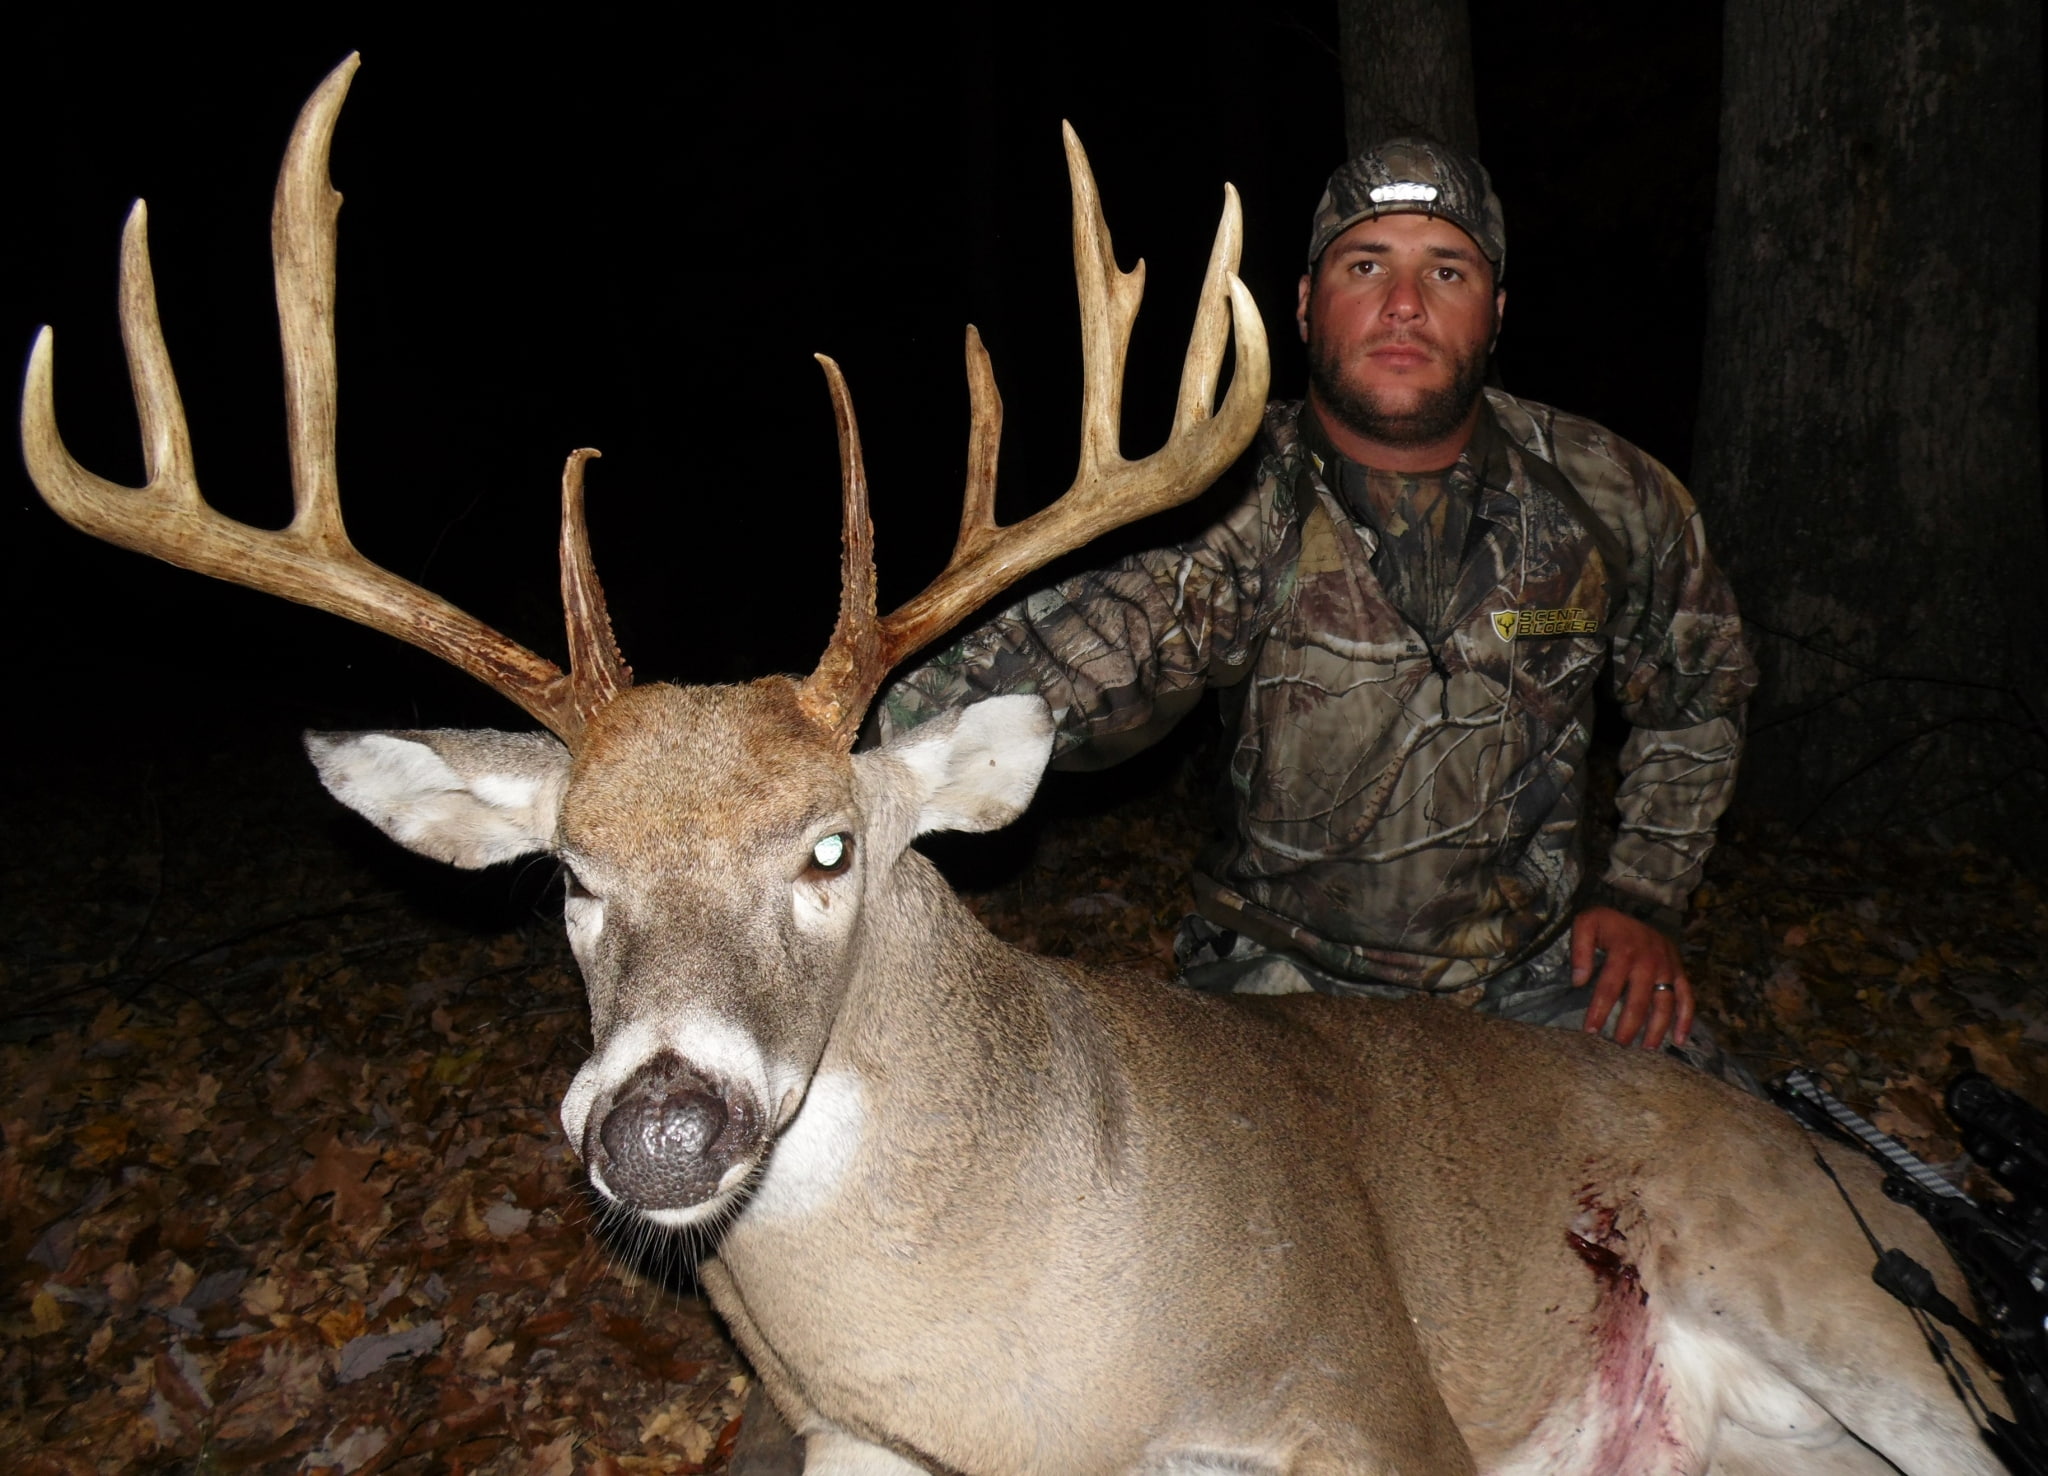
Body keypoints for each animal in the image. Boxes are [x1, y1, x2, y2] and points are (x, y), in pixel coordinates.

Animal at [22, 53, 2015, 1476]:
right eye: (569, 880)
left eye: (831, 848)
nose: (662, 1123)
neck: (1004, 1380)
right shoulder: (850, 1439)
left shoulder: (1372, 1393)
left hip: (1840, 1301)